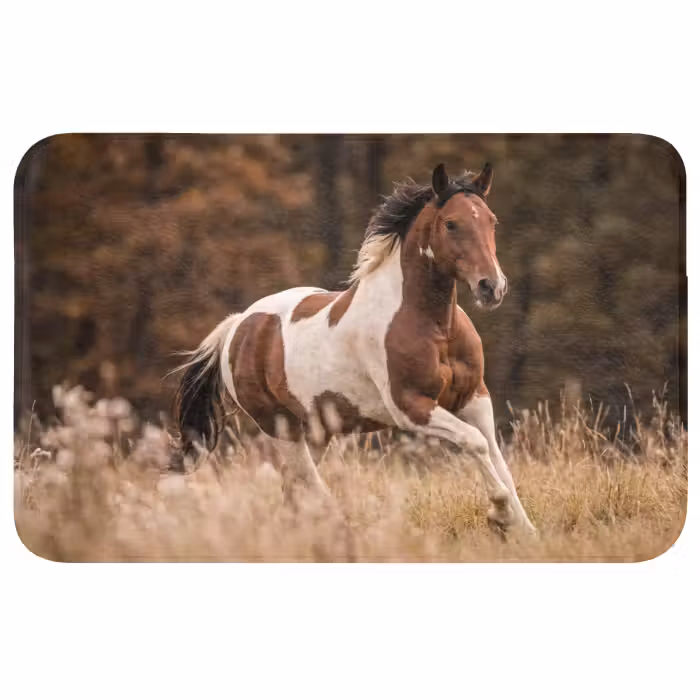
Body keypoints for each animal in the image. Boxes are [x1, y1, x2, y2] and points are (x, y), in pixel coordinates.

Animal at [172, 163, 537, 535]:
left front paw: (525, 531)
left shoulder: (474, 398)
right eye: (451, 223)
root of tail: (238, 325)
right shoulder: (411, 407)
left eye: (492, 221)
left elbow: (496, 458)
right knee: (307, 484)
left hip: (316, 430)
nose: (492, 287)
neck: (435, 327)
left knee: (294, 490)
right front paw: (499, 514)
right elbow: (475, 443)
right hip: (280, 426)